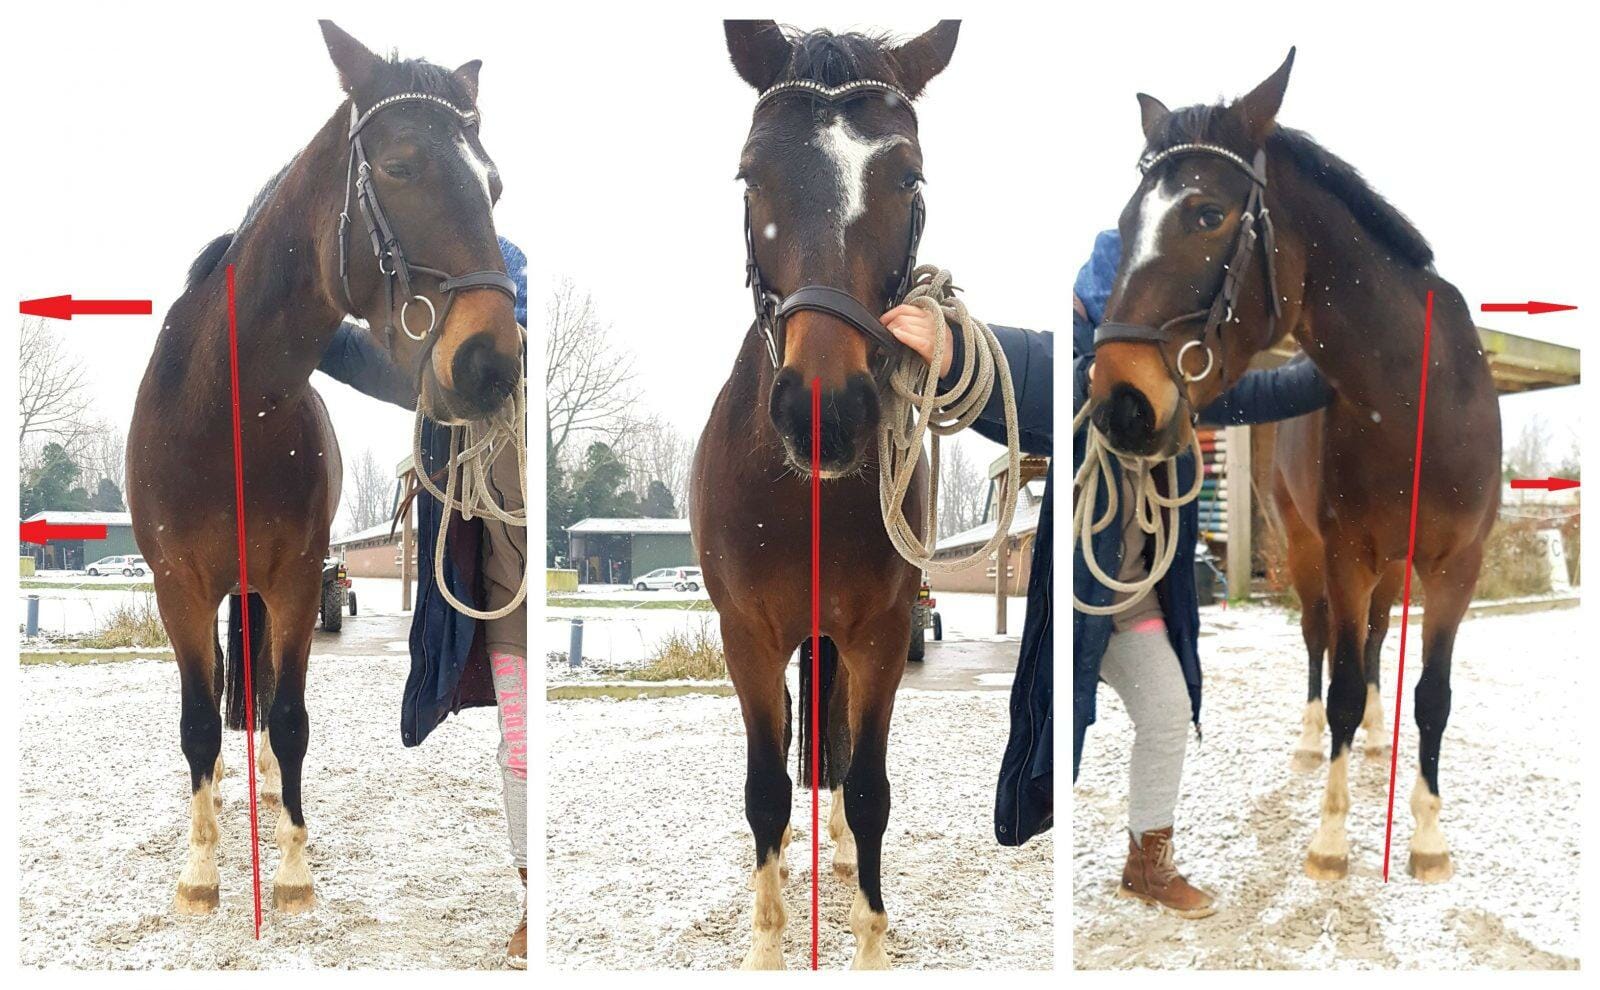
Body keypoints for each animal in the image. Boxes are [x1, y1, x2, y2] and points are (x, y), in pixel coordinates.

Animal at [126, 20, 521, 915]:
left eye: (493, 183)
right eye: (401, 165)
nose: (491, 362)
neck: (222, 411)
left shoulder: (300, 581)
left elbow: (290, 714)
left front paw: (294, 867)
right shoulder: (179, 586)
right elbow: (198, 723)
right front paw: (200, 871)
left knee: (268, 693)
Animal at [690, 20, 958, 969]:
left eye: (909, 176)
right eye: (750, 174)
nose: (824, 411)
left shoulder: (880, 634)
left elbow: (869, 784)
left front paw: (869, 940)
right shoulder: (748, 636)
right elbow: (766, 790)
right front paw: (765, 947)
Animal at [1086, 50, 1500, 884]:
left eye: (1207, 213)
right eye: (1127, 221)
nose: (1119, 403)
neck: (1418, 400)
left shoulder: (1455, 566)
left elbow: (1431, 695)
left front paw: (1428, 837)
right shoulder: (1343, 554)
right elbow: (1337, 680)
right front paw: (1333, 839)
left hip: (1390, 568)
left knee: (1373, 640)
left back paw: (1375, 736)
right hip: (1309, 552)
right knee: (1320, 641)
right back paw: (1316, 745)